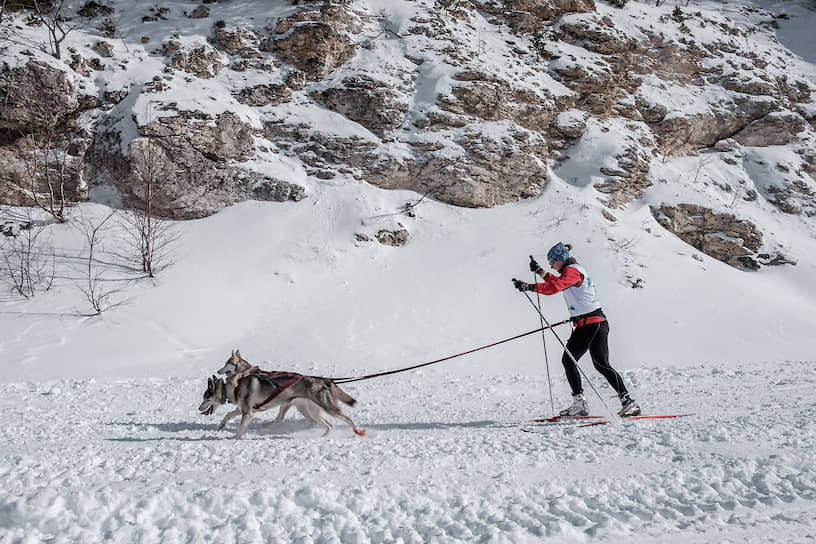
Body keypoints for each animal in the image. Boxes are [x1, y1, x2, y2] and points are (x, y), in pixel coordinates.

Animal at [199, 350, 364, 440]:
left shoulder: (248, 412)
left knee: (347, 419)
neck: (236, 384)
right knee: (328, 425)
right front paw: (221, 426)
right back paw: (320, 435)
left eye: (206, 398)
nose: (199, 408)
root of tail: (326, 380)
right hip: (308, 410)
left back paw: (357, 430)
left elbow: (240, 429)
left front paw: (234, 437)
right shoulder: (242, 409)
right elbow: (227, 415)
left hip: (326, 408)